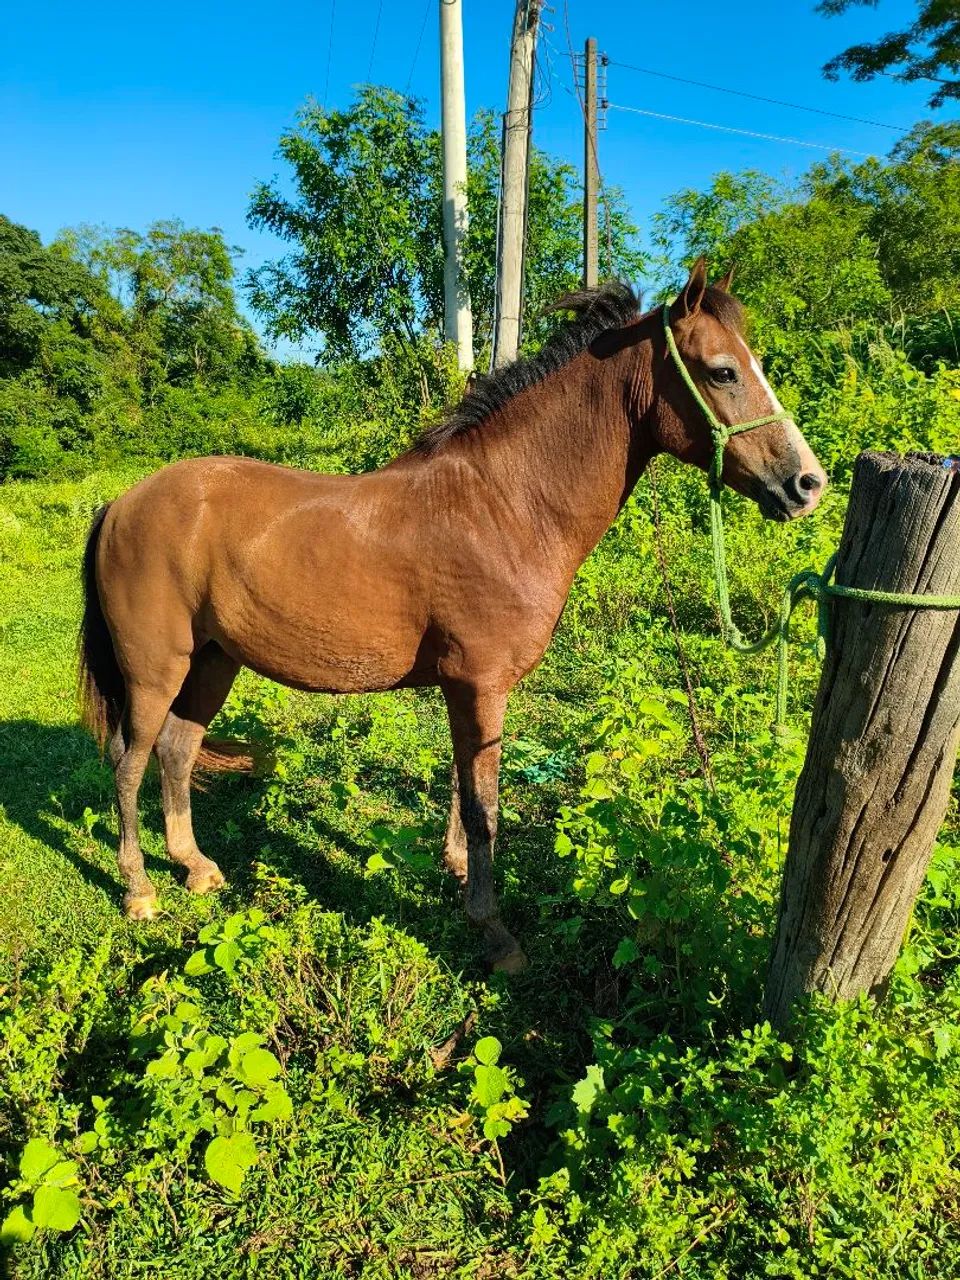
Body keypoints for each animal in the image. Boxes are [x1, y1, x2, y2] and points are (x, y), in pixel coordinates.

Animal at [78, 259, 826, 973]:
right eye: (723, 371)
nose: (807, 484)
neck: (505, 505)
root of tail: (121, 504)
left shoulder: (465, 690)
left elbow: (466, 786)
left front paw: (459, 871)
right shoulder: (479, 685)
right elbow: (484, 804)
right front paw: (494, 931)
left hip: (212, 662)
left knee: (177, 751)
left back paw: (196, 868)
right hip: (155, 670)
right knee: (128, 760)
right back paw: (139, 888)